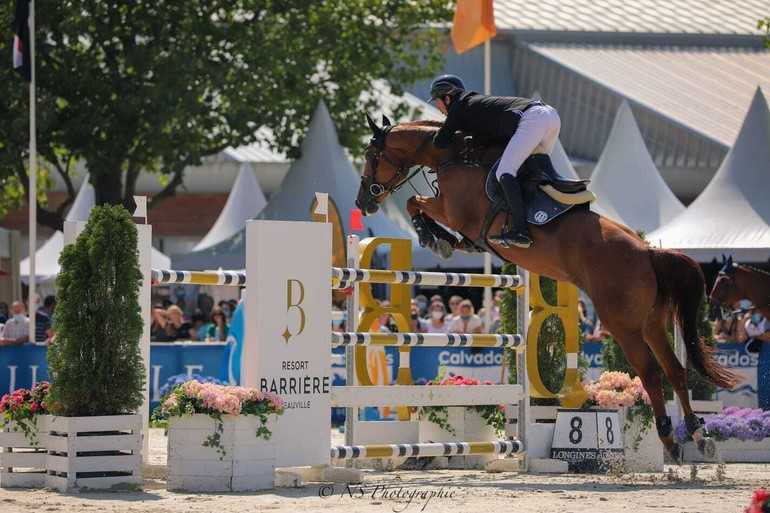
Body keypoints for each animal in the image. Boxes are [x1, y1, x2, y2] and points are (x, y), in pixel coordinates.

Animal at [356, 114, 740, 462]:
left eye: (370, 155)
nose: (363, 202)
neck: (453, 155)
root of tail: (648, 251)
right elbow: (424, 209)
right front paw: (443, 240)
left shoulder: (454, 211)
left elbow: (415, 203)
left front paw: (433, 238)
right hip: (652, 323)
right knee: (676, 370)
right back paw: (699, 435)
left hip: (622, 324)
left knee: (650, 372)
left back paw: (670, 440)